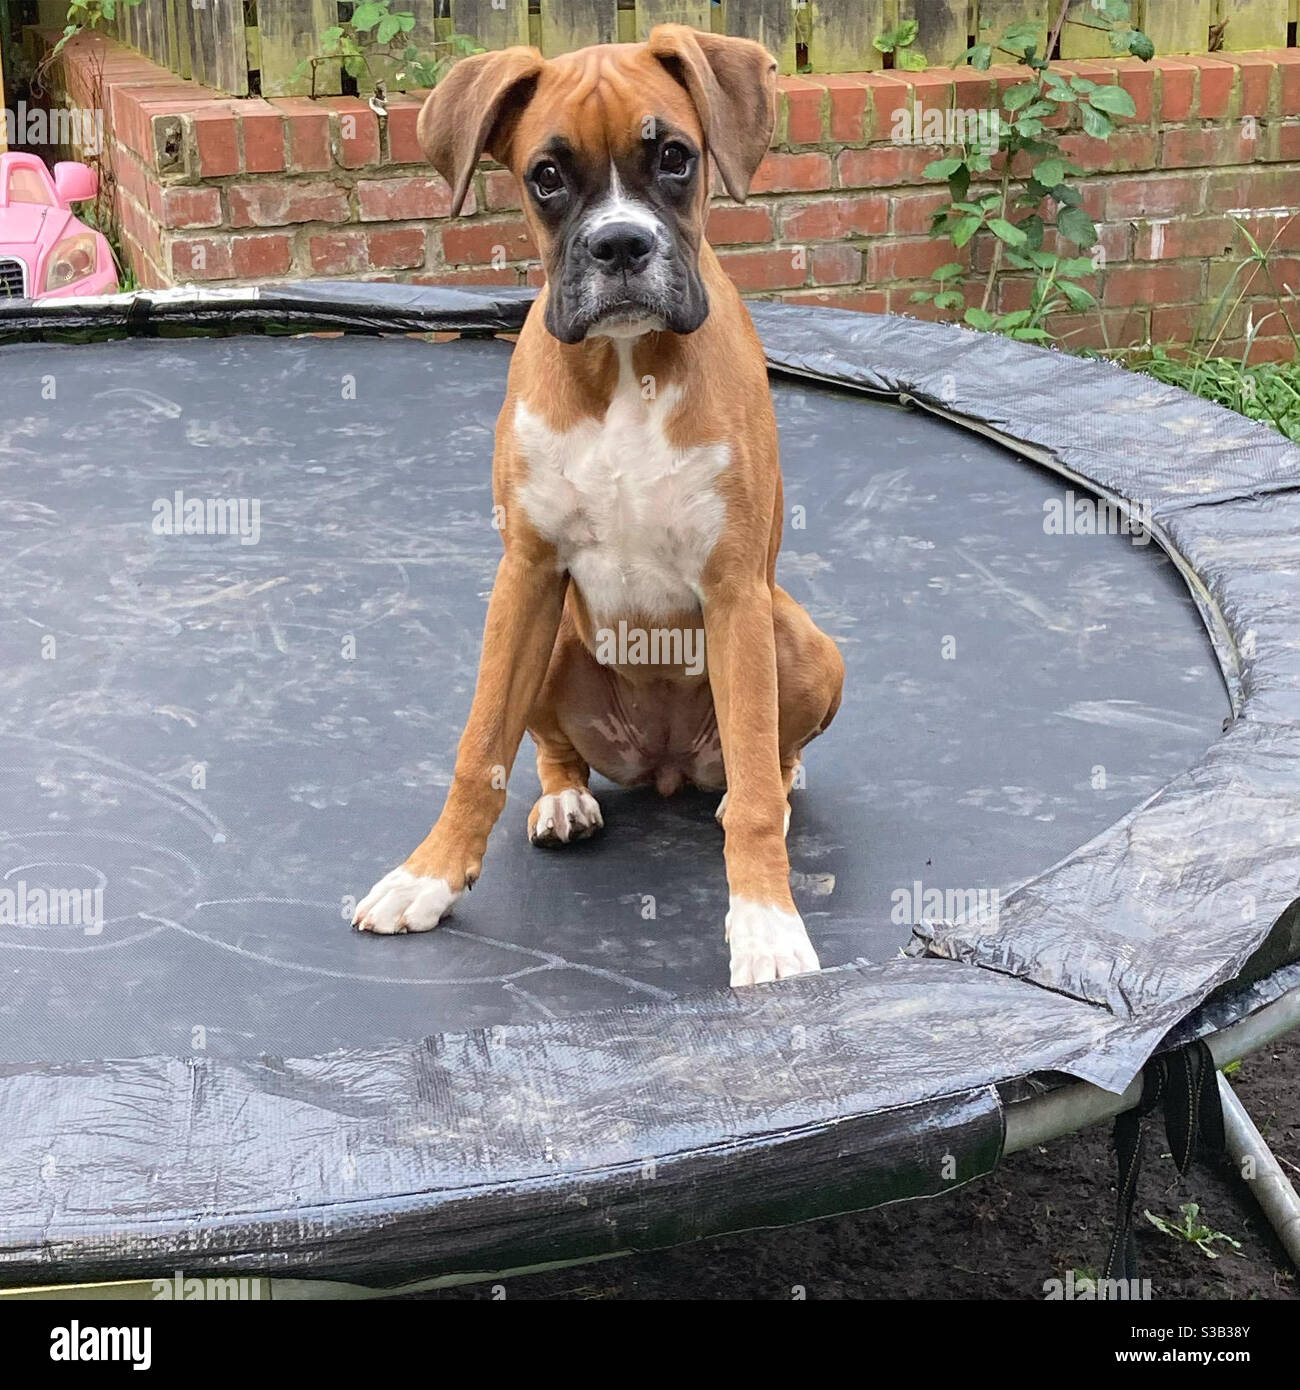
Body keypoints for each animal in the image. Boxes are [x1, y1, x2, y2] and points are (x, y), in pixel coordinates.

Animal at [353, 19, 845, 978]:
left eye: (676, 158)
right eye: (546, 176)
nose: (620, 246)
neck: (623, 367)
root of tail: (661, 764)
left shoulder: (734, 590)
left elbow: (756, 785)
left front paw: (767, 924)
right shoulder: (526, 574)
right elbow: (481, 747)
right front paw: (428, 875)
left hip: (796, 638)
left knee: (764, 761)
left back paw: (768, 786)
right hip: (551, 641)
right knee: (551, 749)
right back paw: (564, 799)